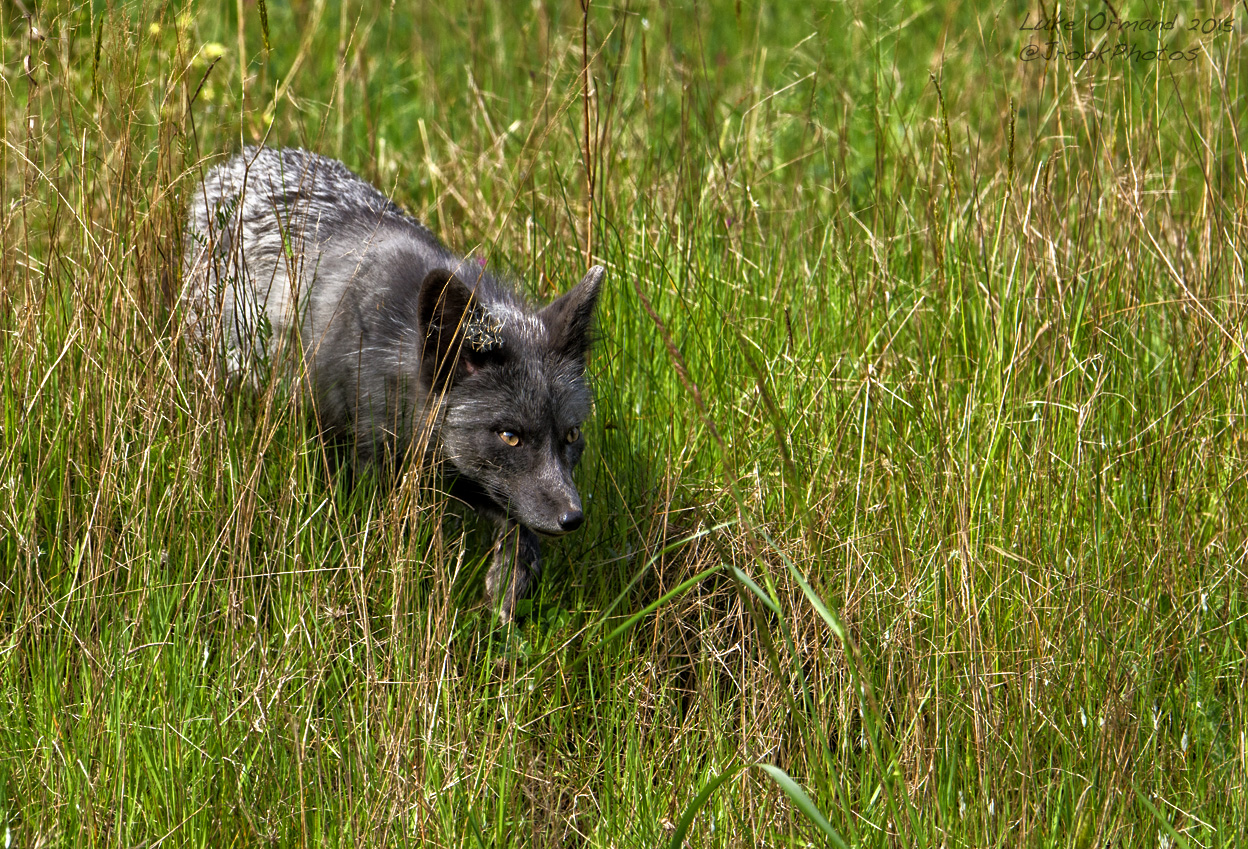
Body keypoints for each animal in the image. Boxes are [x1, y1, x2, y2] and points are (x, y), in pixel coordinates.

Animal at [182, 147, 604, 622]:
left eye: (571, 436)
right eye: (510, 436)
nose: (573, 518)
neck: (392, 346)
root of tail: (239, 160)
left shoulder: (459, 472)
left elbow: (521, 535)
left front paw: (506, 590)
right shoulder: (369, 461)